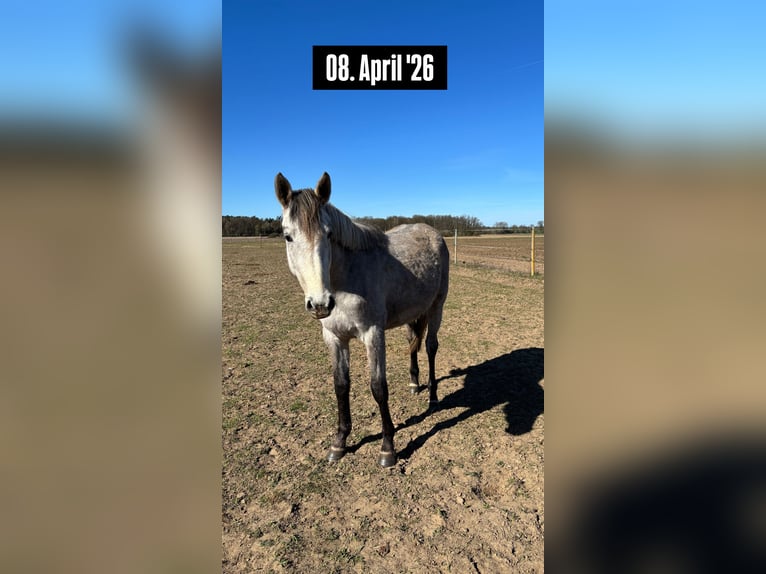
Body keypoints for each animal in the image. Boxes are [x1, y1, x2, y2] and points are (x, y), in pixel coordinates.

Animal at [275, 172, 449, 467]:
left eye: (329, 234)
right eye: (288, 236)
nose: (320, 303)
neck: (347, 279)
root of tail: (431, 231)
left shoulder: (373, 334)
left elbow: (378, 387)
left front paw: (388, 448)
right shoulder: (334, 338)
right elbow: (341, 385)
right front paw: (339, 442)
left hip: (437, 306)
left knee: (430, 347)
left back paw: (434, 398)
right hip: (412, 312)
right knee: (413, 343)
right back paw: (415, 384)